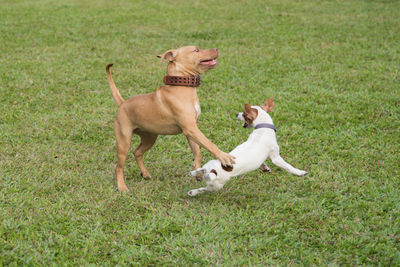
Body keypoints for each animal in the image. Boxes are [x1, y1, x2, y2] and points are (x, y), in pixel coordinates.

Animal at [106, 46, 236, 193]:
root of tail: (122, 103)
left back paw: (145, 174)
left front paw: (198, 171)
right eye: (196, 50)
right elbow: (209, 144)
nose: (216, 48)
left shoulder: (191, 130)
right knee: (119, 167)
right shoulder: (191, 129)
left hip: (150, 138)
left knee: (137, 152)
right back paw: (122, 186)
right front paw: (224, 156)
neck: (181, 86)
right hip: (124, 142)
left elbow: (197, 151)